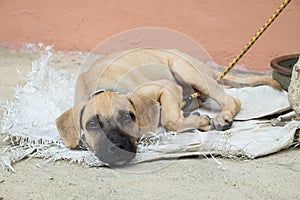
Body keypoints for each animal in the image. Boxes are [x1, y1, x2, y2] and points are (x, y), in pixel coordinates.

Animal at [54, 48, 282, 166]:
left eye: (128, 117)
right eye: (92, 125)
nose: (117, 147)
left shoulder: (166, 86)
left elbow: (171, 120)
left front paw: (201, 121)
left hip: (184, 68)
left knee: (232, 100)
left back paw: (220, 117)